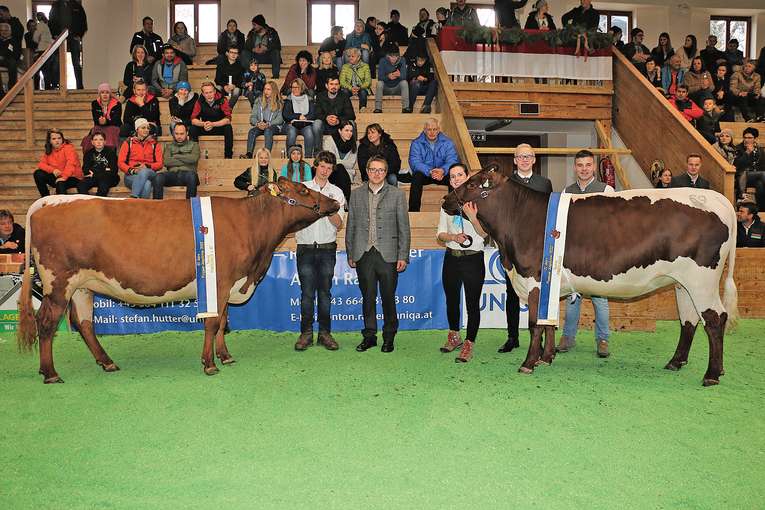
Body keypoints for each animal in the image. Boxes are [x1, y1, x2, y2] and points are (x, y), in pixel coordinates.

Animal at [16, 179, 338, 382]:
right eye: (303, 189)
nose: (334, 202)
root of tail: (48, 200)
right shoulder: (219, 282)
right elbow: (212, 322)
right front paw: (209, 364)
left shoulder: (226, 286)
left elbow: (222, 320)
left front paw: (225, 356)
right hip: (58, 282)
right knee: (46, 322)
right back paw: (50, 373)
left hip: (82, 285)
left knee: (84, 323)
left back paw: (107, 362)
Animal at [442, 169, 740, 384]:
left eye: (472, 183)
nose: (446, 200)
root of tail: (718, 199)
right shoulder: (550, 283)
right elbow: (551, 323)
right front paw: (546, 358)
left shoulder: (536, 280)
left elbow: (536, 324)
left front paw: (528, 363)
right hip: (682, 284)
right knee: (689, 320)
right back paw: (676, 362)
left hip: (702, 280)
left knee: (715, 319)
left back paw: (712, 374)